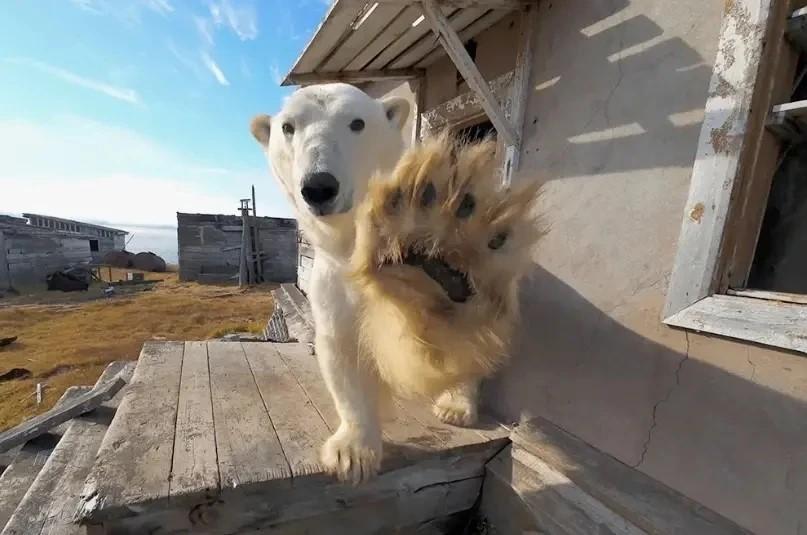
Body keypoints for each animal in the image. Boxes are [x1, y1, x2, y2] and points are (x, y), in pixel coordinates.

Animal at [251, 83, 540, 484]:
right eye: (288, 127)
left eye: (357, 122)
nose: (319, 186)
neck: (353, 243)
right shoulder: (333, 280)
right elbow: (342, 349)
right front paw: (352, 453)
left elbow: (428, 345)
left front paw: (431, 268)